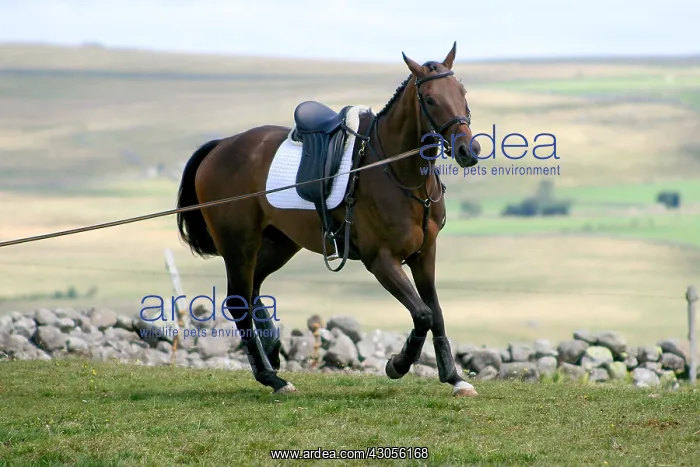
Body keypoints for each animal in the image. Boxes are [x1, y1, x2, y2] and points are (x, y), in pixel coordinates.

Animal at [176, 42, 482, 397]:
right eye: (430, 99)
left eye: (462, 92)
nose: (468, 150)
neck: (398, 174)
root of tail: (220, 146)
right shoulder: (381, 260)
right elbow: (422, 314)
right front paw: (398, 364)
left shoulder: (424, 255)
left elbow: (436, 313)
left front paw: (455, 377)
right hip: (240, 245)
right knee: (239, 302)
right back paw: (272, 378)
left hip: (279, 243)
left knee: (252, 290)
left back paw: (272, 349)